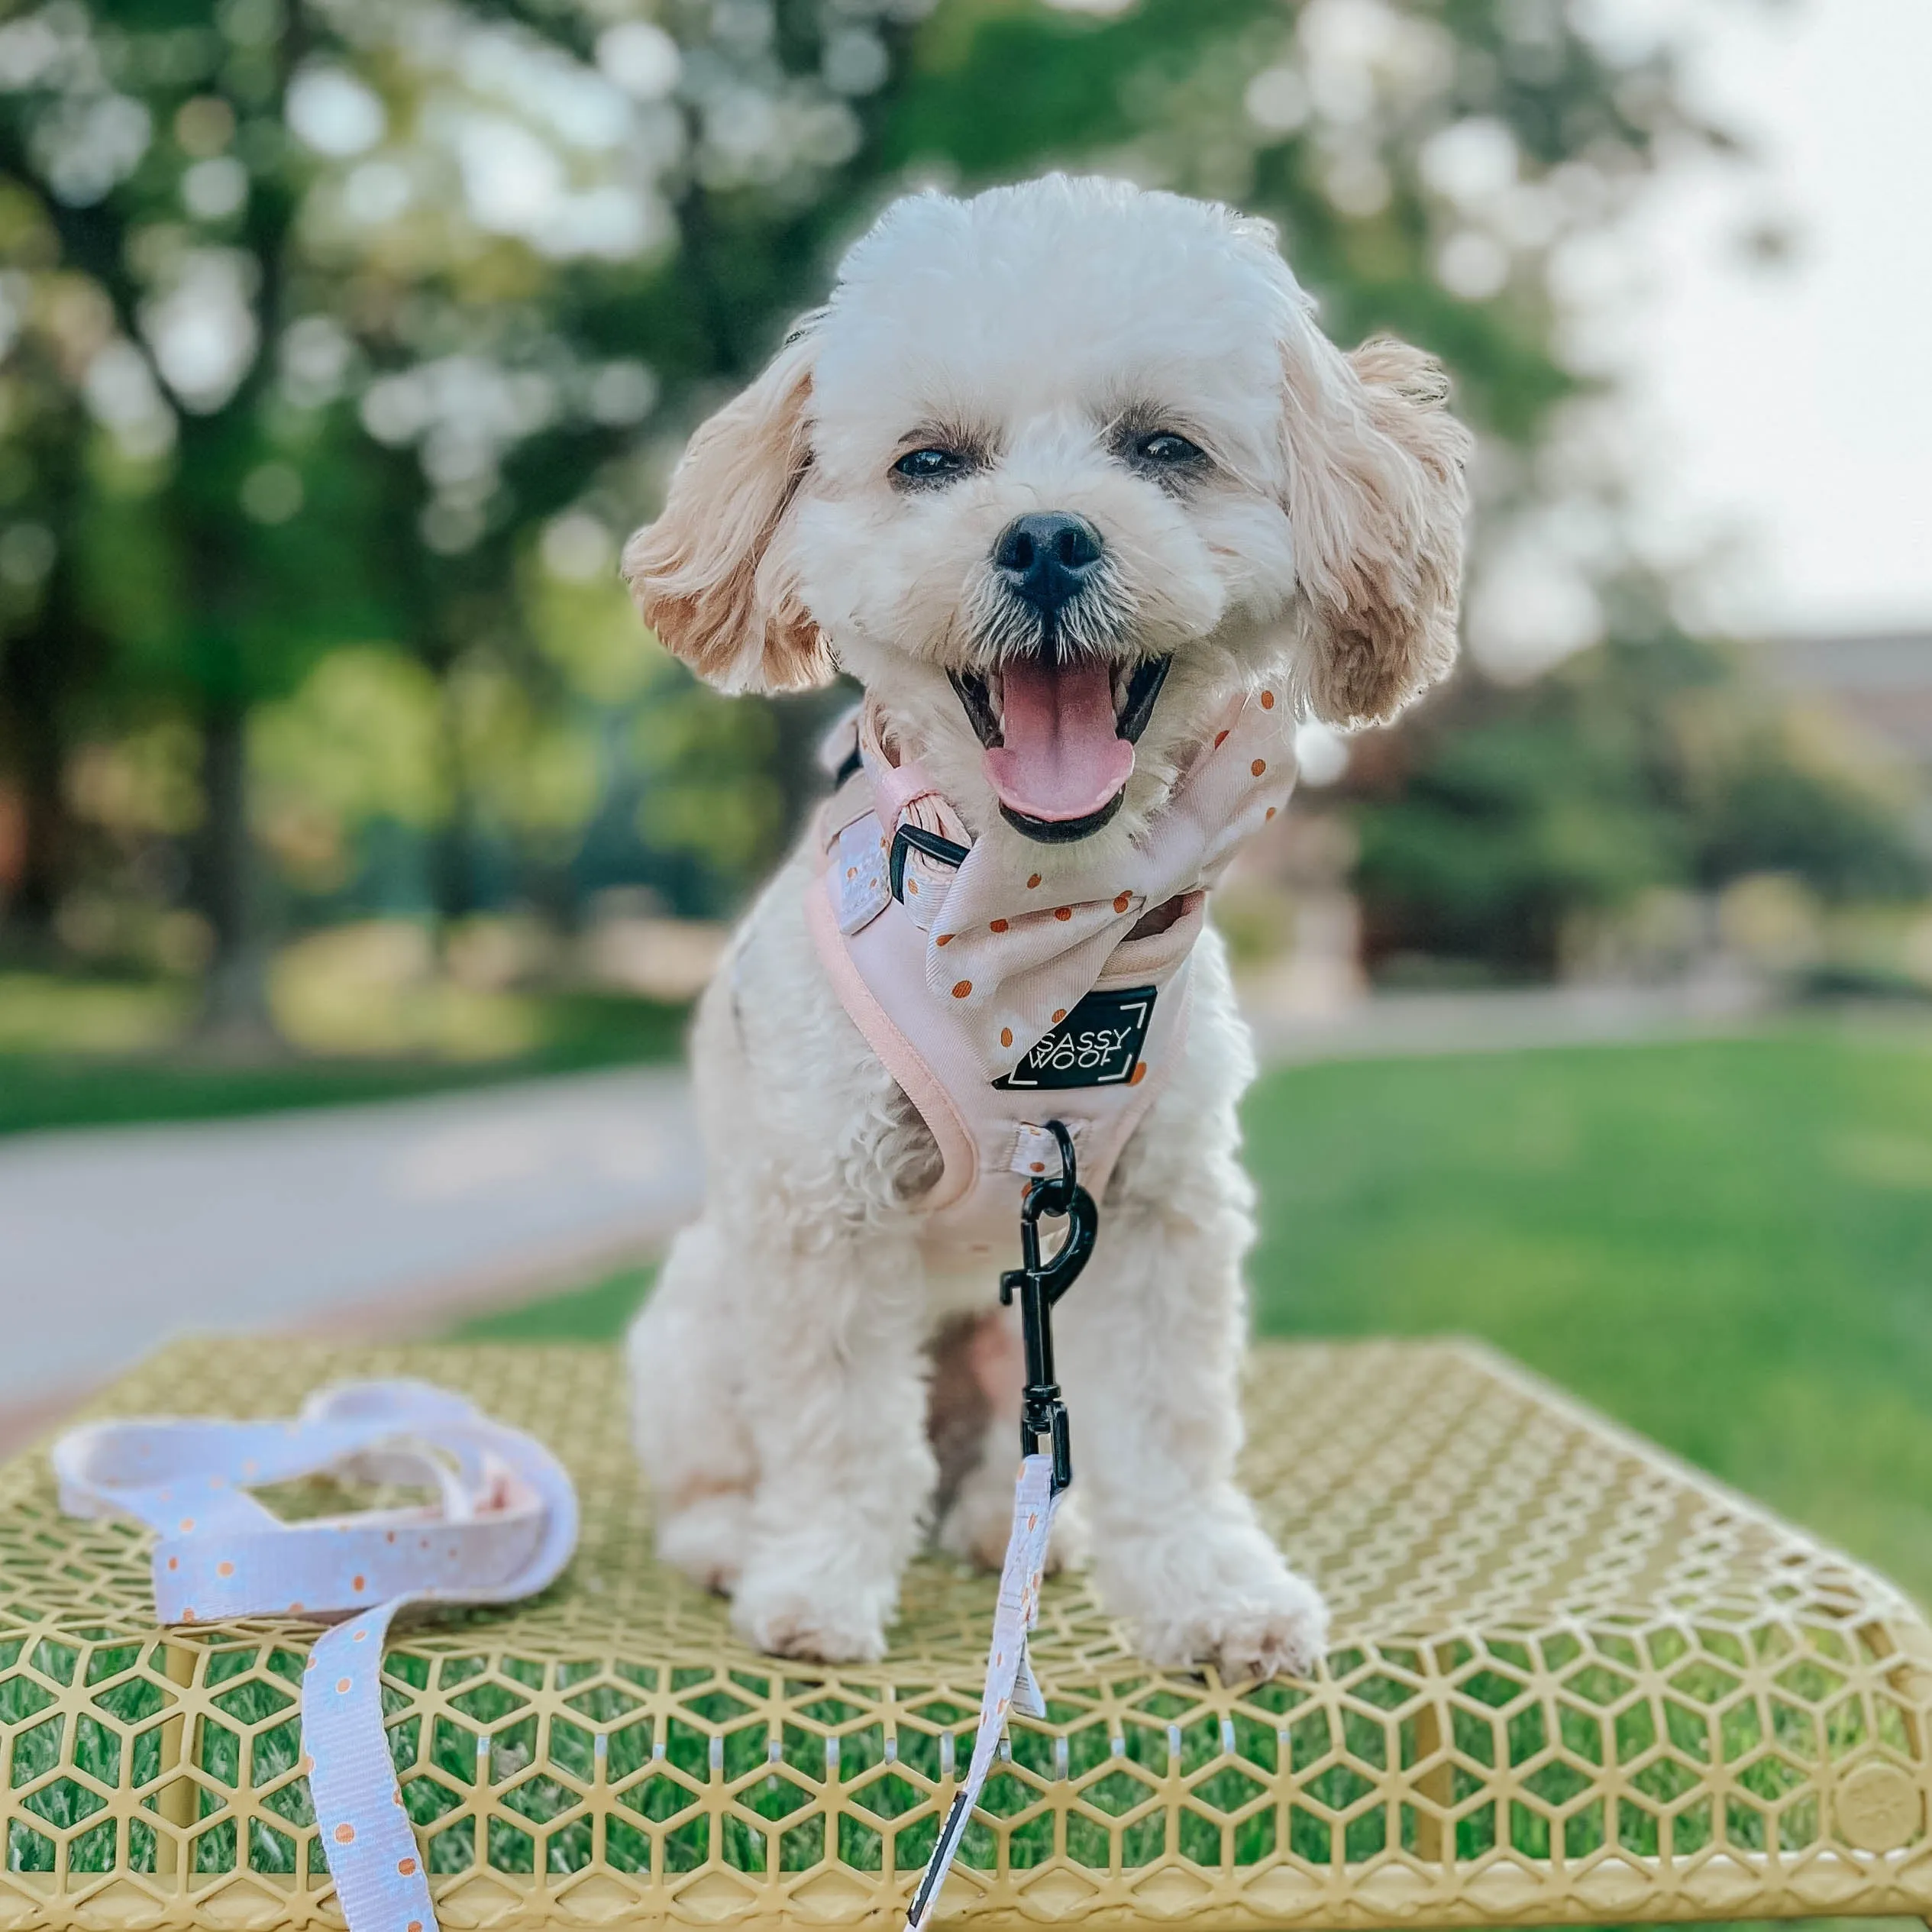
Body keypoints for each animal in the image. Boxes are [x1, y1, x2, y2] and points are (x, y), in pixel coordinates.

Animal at [618, 177, 1460, 1677]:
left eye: (1163, 448)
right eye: (930, 463)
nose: (1049, 536)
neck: (1028, 926)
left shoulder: (1156, 1212)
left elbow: (1166, 1432)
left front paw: (1209, 1589)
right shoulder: (822, 1215)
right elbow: (836, 1430)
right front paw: (816, 1584)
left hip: (1018, 1330)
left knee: (1011, 1462)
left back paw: (1013, 1531)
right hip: (705, 1313)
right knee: (734, 1458)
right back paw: (731, 1539)